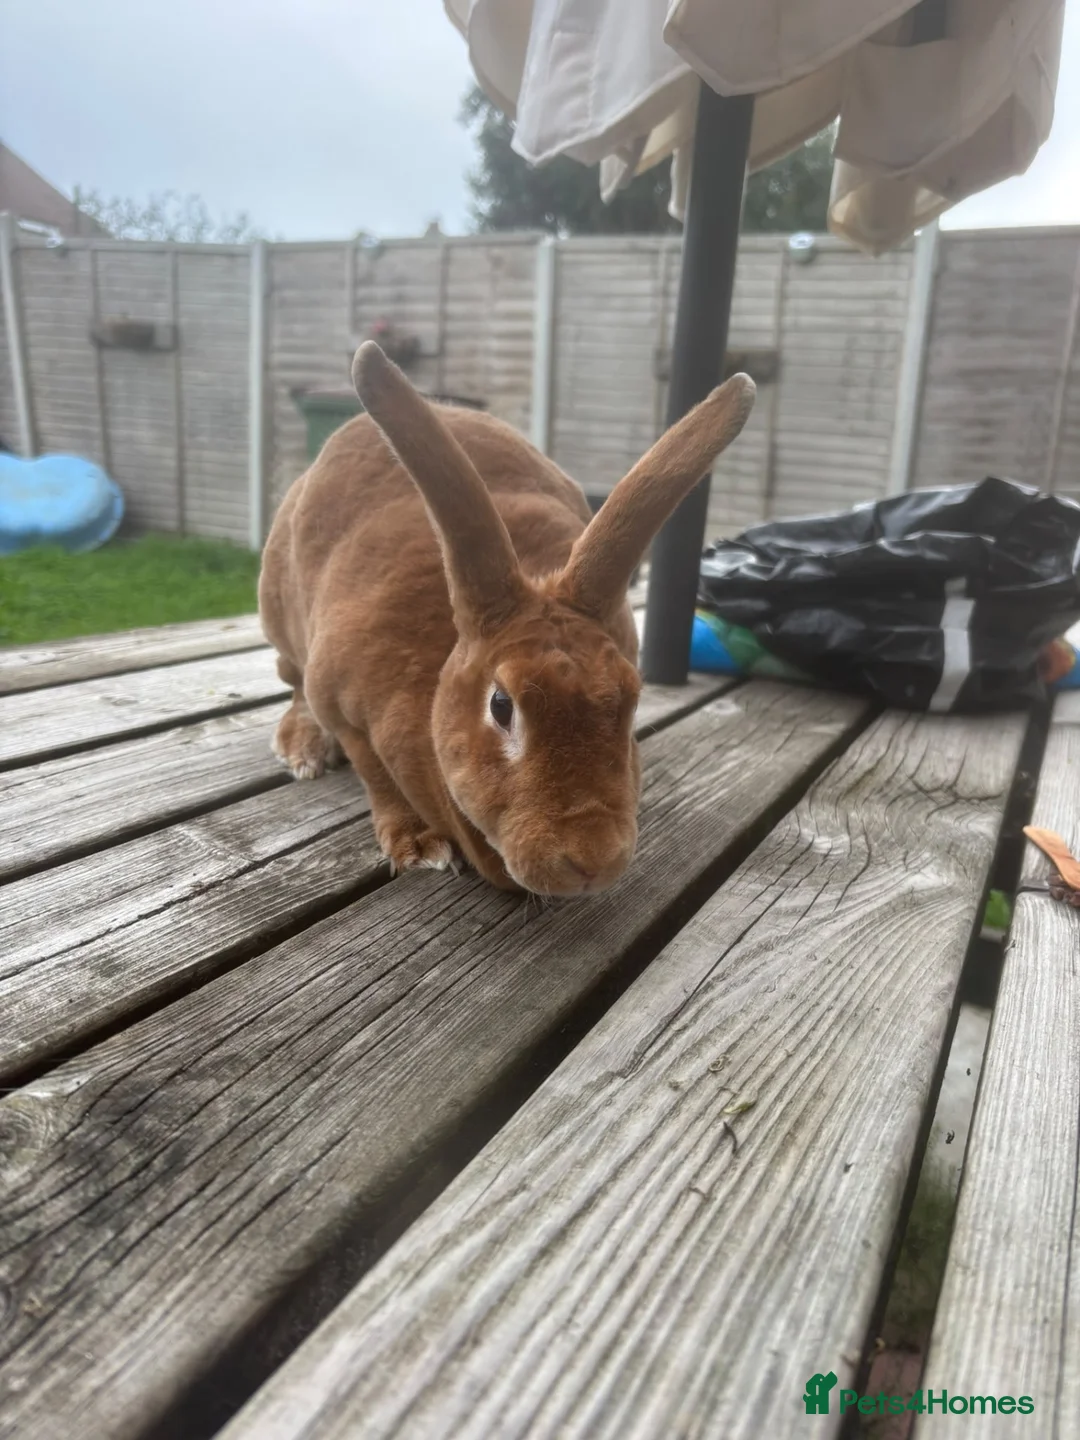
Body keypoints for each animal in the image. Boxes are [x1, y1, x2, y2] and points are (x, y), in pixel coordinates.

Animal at [259, 341, 754, 897]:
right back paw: (303, 751)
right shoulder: (343, 708)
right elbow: (378, 779)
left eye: (631, 700)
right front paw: (418, 848)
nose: (594, 861)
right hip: (281, 621)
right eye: (501, 706)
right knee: (293, 682)